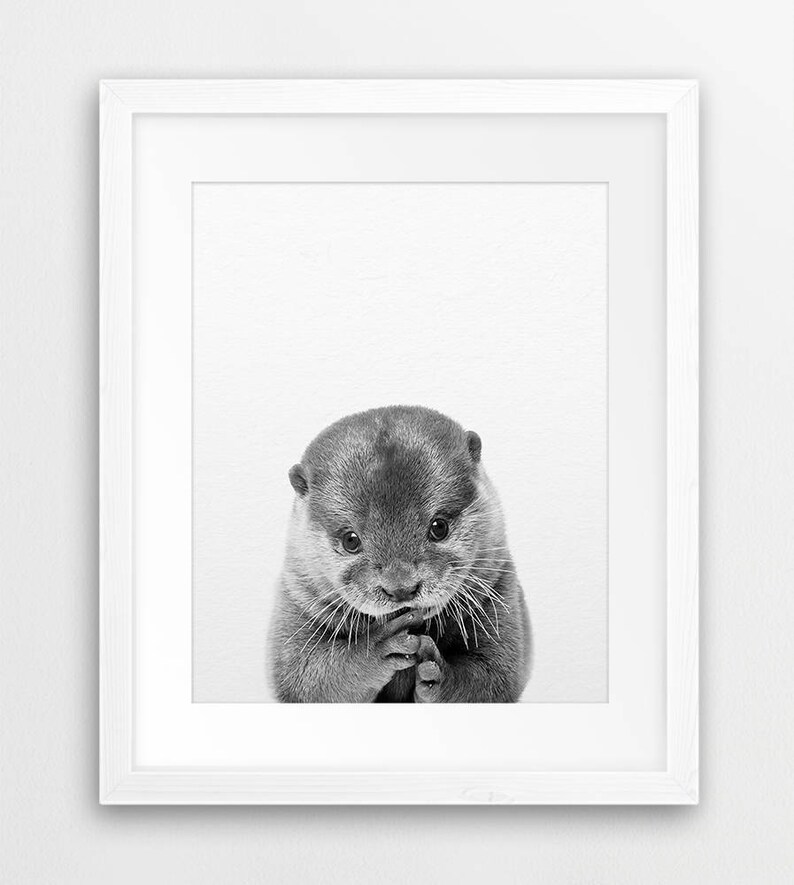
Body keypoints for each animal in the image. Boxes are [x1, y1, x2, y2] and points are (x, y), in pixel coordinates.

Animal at [268, 405, 531, 703]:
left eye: (439, 527)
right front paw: (378, 647)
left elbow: (494, 677)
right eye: (351, 540)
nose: (401, 588)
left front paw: (437, 672)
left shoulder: (500, 592)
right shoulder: (296, 601)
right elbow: (306, 679)